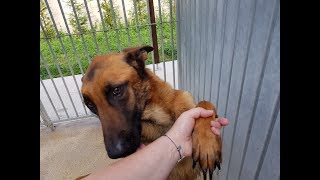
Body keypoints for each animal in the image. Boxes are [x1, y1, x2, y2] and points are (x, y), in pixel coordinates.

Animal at [79, 45, 222, 179]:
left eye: (116, 90)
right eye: (90, 105)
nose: (115, 154)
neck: (159, 117)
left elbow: (205, 103)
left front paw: (206, 144)